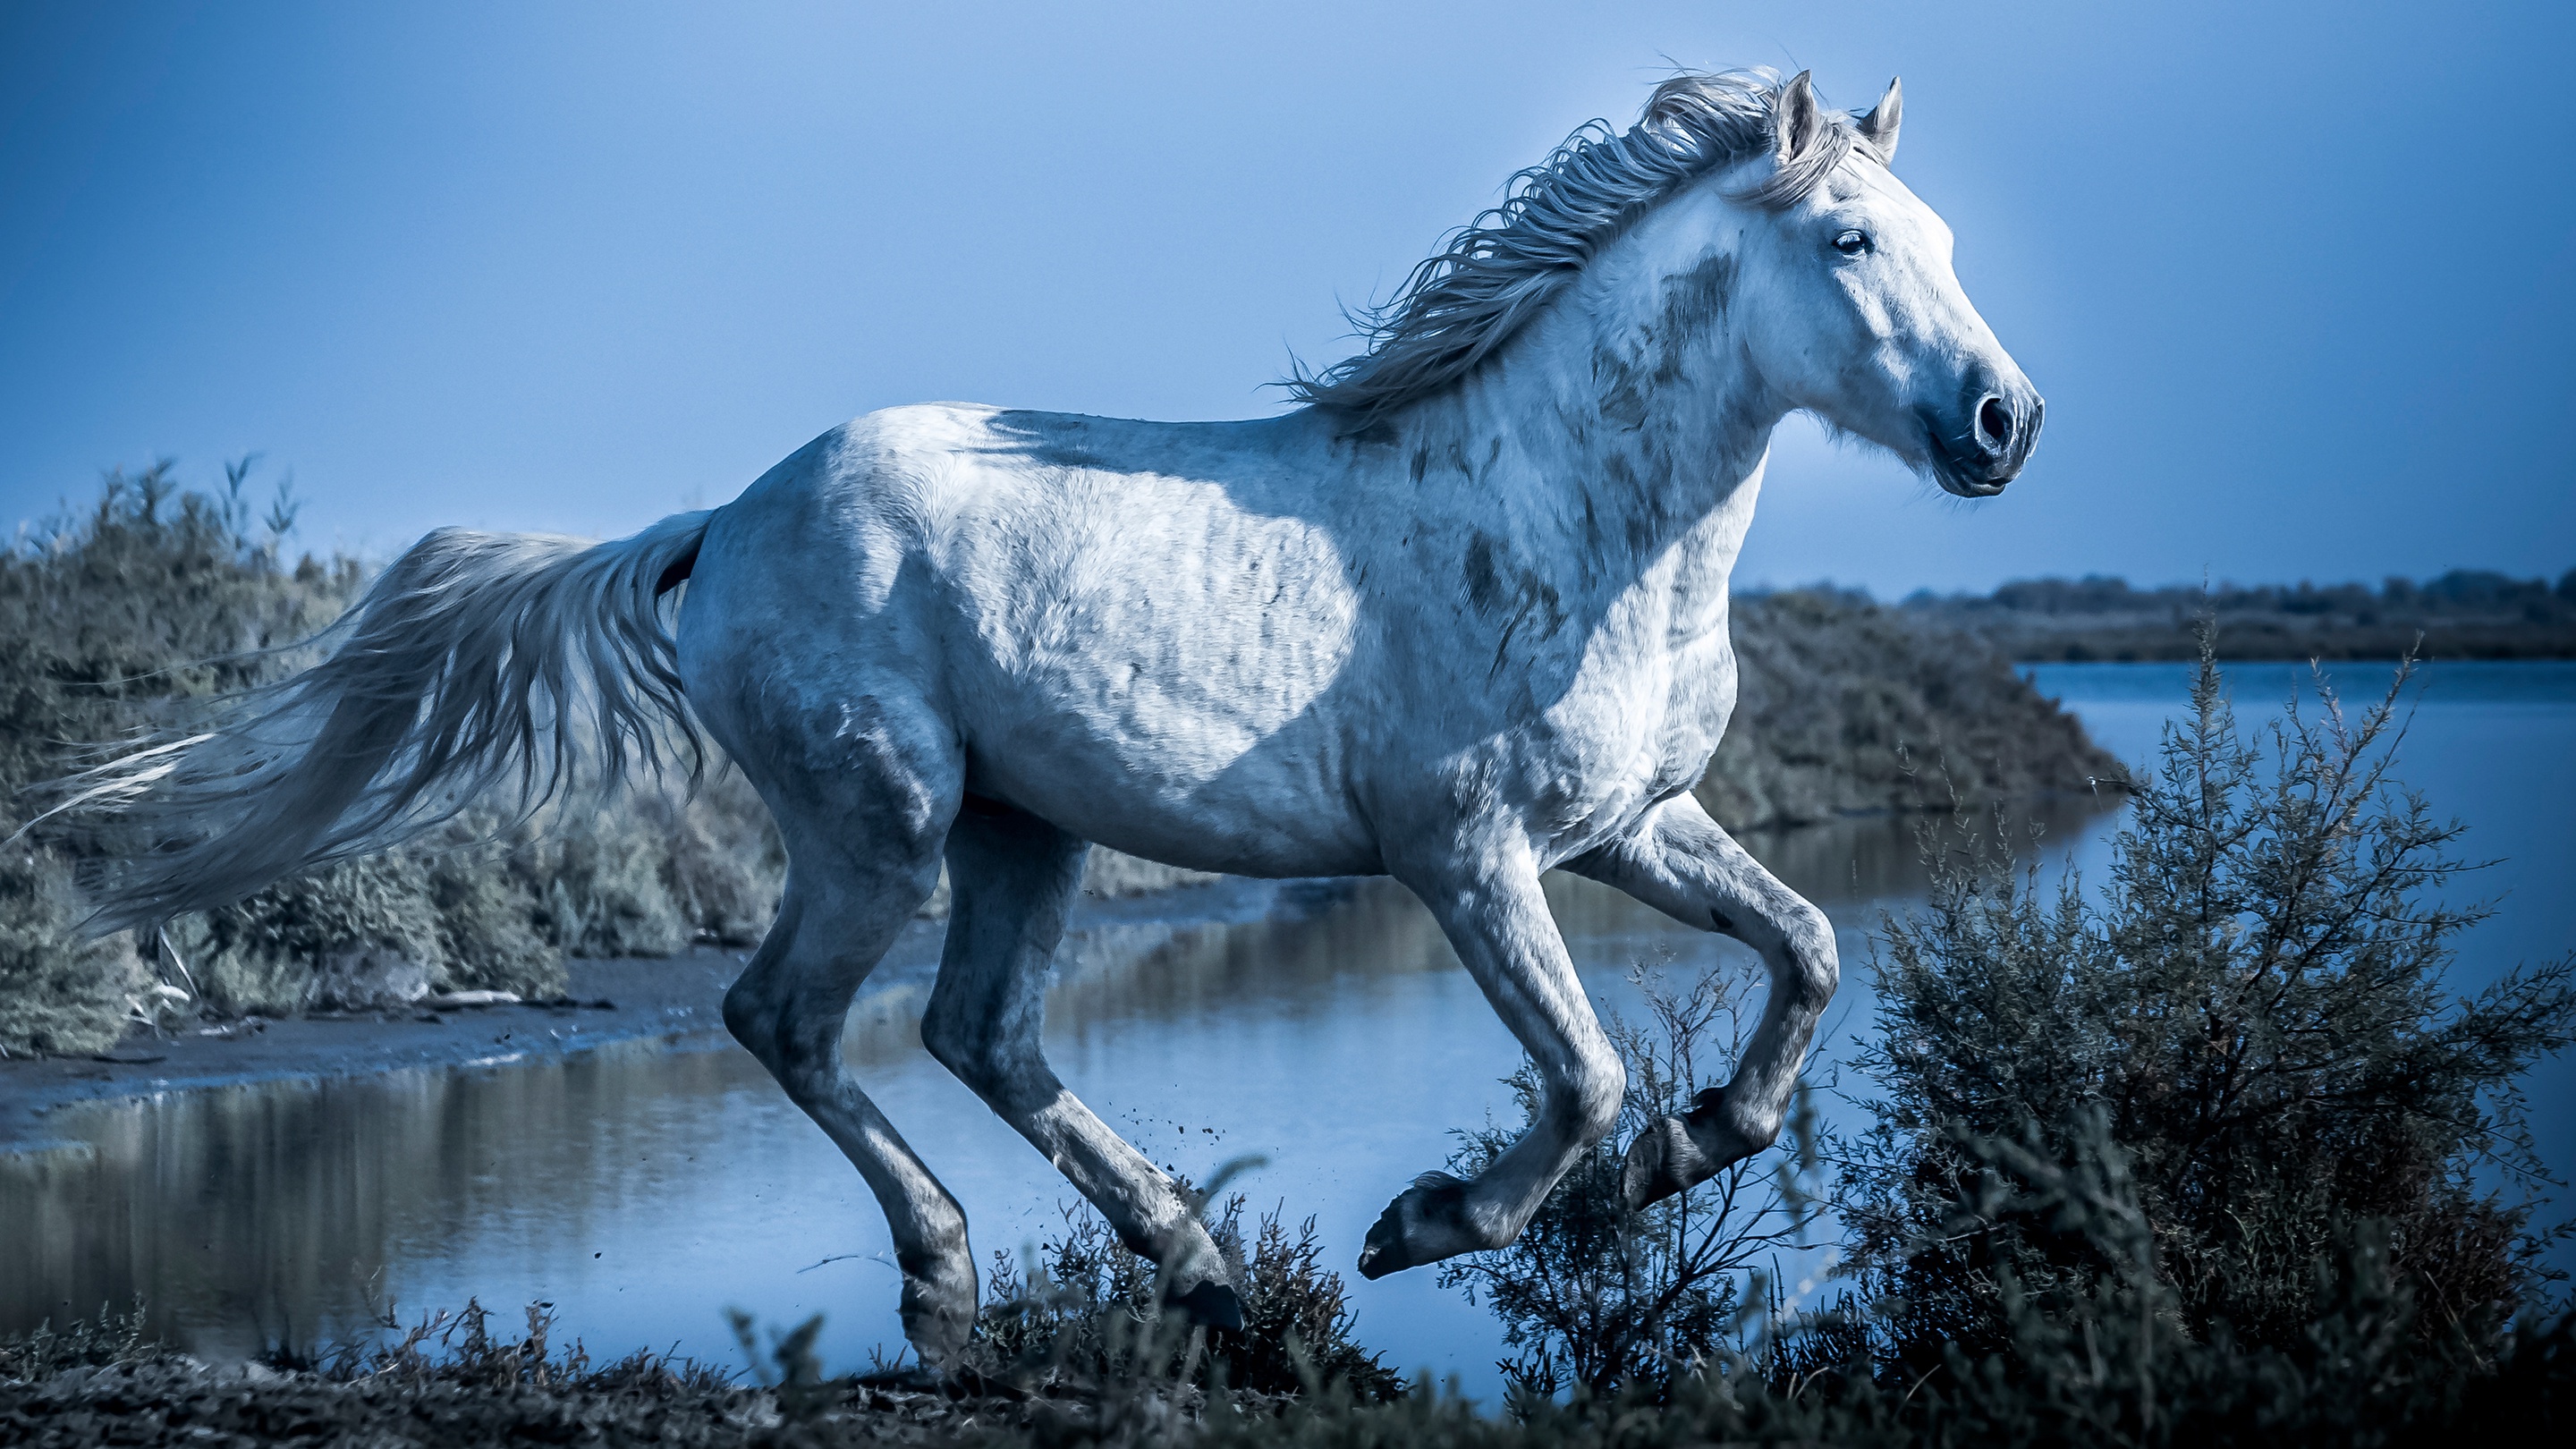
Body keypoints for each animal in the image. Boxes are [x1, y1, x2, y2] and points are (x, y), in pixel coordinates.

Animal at [65, 67, 2040, 1368]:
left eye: (1947, 236)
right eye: (1849, 240)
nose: (2003, 422)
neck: (1566, 518)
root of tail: (726, 517)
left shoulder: (1632, 826)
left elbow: (1809, 951)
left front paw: (1691, 1150)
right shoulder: (1464, 853)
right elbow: (1582, 1071)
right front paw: (1429, 1225)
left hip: (1028, 829)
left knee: (981, 1034)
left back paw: (1197, 1267)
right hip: (881, 824)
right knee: (790, 1019)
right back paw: (954, 1285)